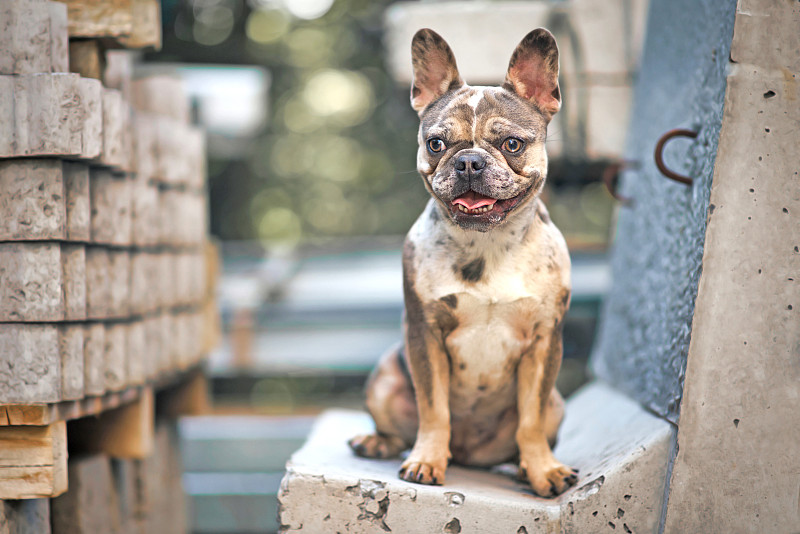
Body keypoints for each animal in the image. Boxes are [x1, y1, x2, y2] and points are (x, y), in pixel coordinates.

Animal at [346, 28, 580, 498]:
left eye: (512, 144)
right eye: (436, 143)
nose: (469, 160)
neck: (487, 245)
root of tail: (471, 455)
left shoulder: (545, 342)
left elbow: (530, 420)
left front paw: (543, 469)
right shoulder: (425, 335)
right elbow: (433, 408)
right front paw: (426, 461)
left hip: (558, 404)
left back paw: (523, 467)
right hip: (384, 378)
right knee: (399, 425)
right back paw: (379, 442)